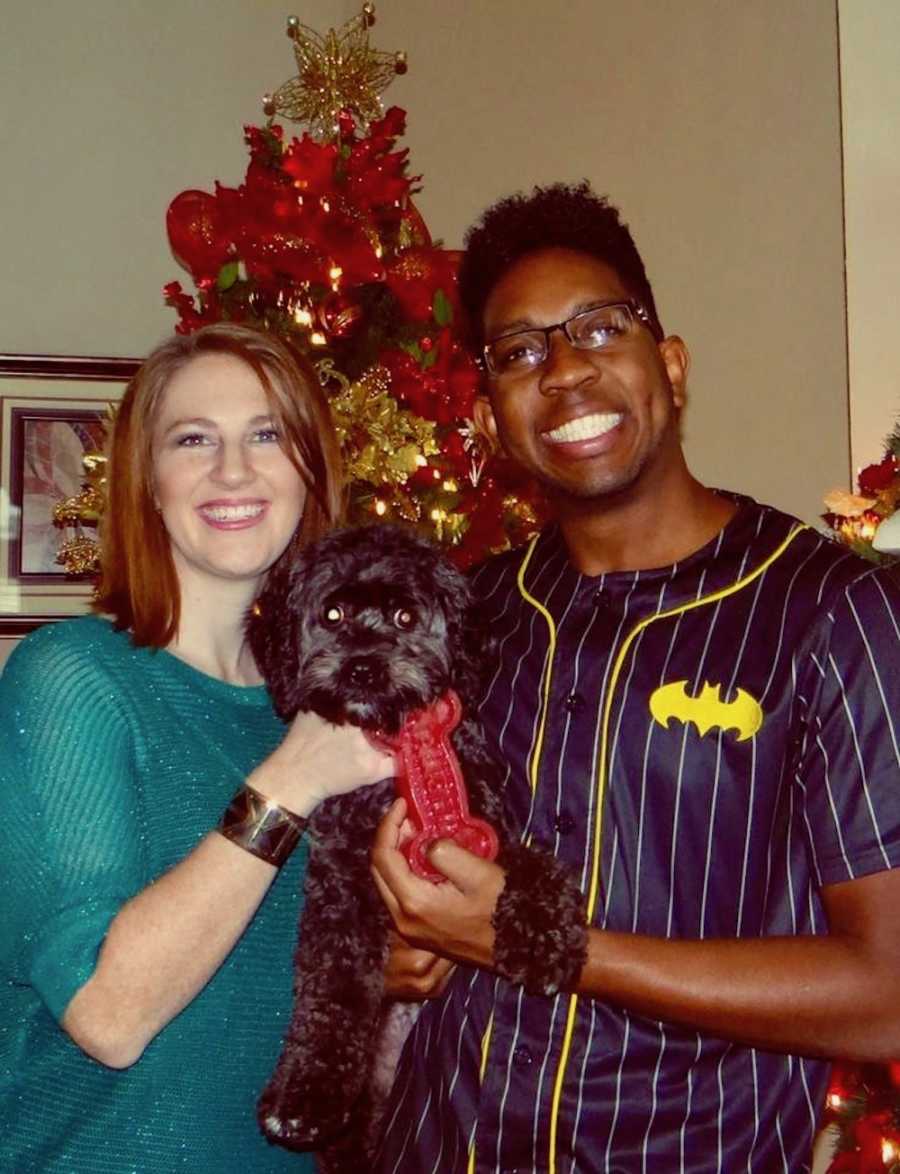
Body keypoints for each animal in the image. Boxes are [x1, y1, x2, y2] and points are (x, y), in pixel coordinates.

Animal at [248, 525, 591, 1164]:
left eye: (406, 616)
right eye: (332, 613)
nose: (362, 668)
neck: (392, 776)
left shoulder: (483, 833)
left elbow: (538, 865)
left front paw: (542, 940)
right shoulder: (342, 884)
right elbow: (332, 989)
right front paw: (305, 1094)